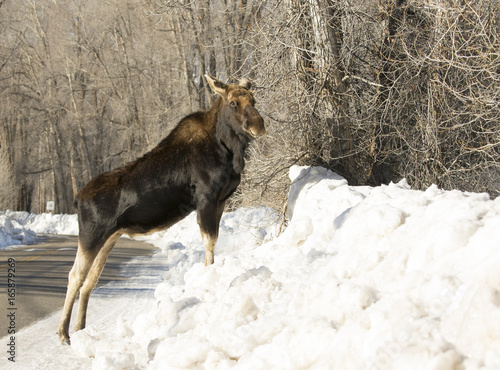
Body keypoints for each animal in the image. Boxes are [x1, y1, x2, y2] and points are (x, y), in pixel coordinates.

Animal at [58, 74, 266, 344]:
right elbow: (209, 243)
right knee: (75, 276)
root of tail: (77, 198)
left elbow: (214, 240)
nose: (258, 125)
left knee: (89, 281)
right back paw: (63, 333)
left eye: (253, 99)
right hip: (90, 235)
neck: (228, 148)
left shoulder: (221, 201)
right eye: (233, 102)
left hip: (108, 238)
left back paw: (80, 329)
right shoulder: (206, 198)